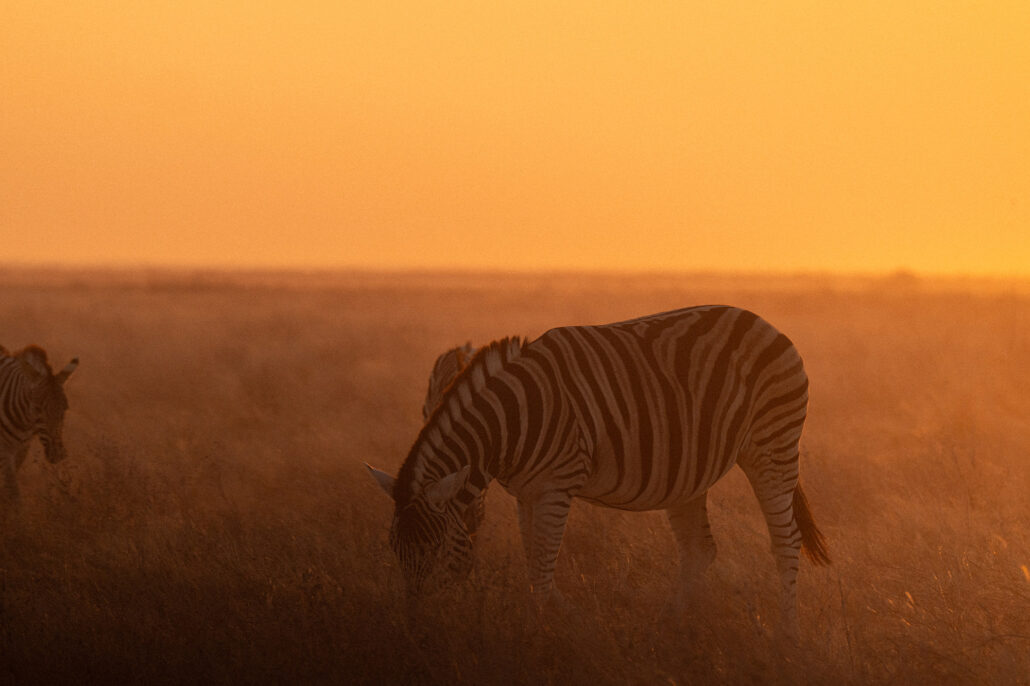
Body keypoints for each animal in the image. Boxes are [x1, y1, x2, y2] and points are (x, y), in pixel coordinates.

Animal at [1, 345, 79, 499]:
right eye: (37, 409)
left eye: (65, 408)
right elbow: (13, 490)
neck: (24, 424)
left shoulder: (23, 448)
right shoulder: (4, 449)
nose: (58, 454)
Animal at [368, 305, 828, 638]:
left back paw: (786, 638)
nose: (416, 630)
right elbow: (535, 566)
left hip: (772, 445)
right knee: (700, 550)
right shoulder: (526, 493)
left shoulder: (555, 489)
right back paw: (669, 628)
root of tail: (761, 321)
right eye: (393, 549)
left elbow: (541, 572)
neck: (510, 423)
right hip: (691, 473)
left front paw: (540, 637)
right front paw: (572, 625)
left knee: (786, 542)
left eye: (433, 550)